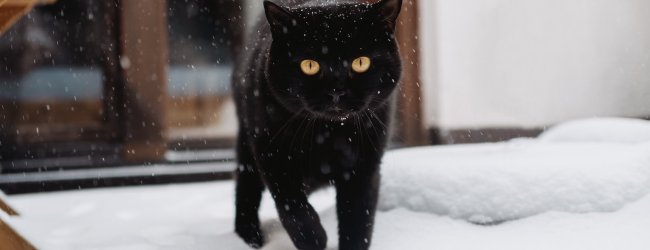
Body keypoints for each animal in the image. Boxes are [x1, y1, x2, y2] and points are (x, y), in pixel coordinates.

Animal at [233, 0, 400, 249]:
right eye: (309, 65)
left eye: (361, 62)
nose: (337, 91)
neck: (329, 134)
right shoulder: (272, 156)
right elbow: (292, 207)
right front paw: (314, 237)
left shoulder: (364, 167)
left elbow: (357, 219)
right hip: (247, 141)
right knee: (246, 186)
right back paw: (249, 236)